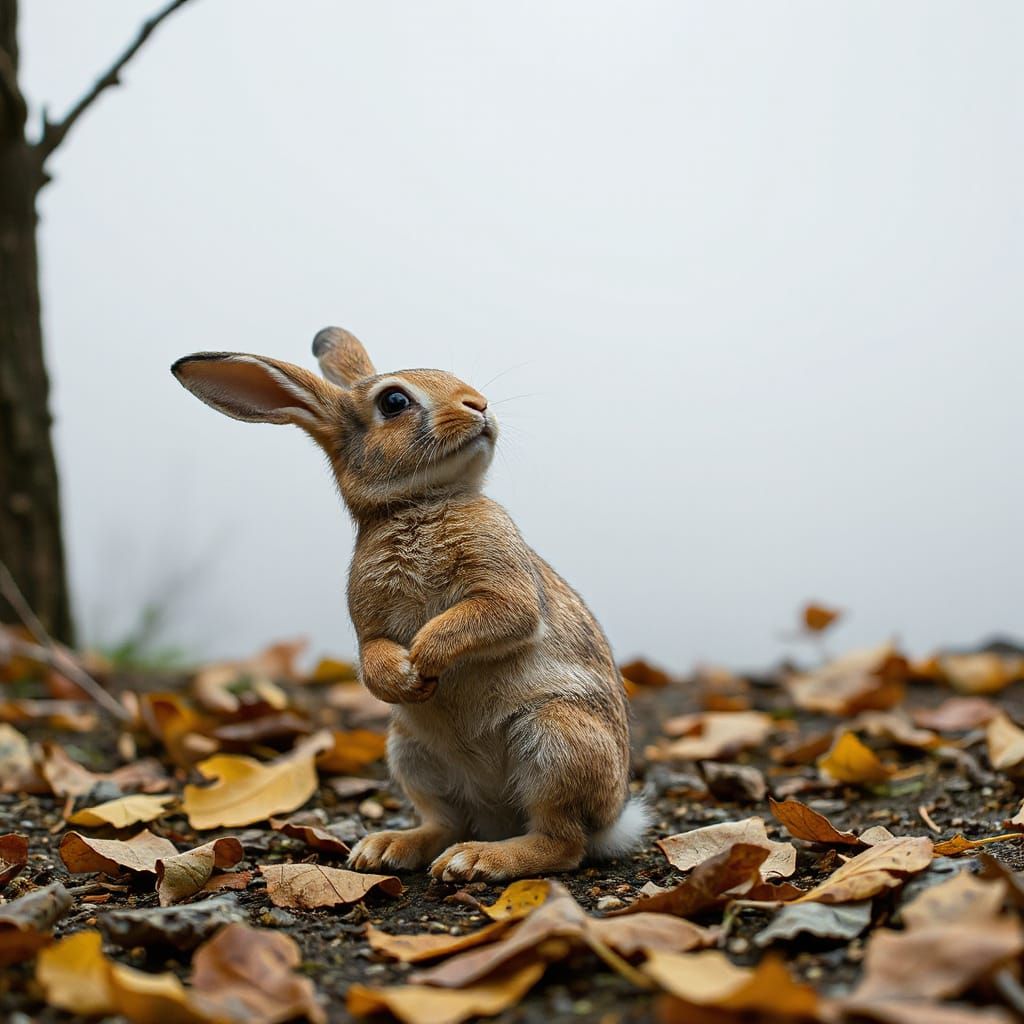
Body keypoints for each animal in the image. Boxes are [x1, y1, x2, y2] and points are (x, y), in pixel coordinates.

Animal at [171, 327, 648, 881]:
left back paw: (477, 860)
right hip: (413, 755)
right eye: (394, 402)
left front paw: (423, 658)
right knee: (449, 822)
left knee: (562, 841)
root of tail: (614, 819)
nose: (478, 404)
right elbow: (373, 654)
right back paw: (389, 849)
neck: (418, 503)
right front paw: (405, 677)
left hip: (555, 740)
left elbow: (496, 614)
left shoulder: (504, 587)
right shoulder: (368, 620)